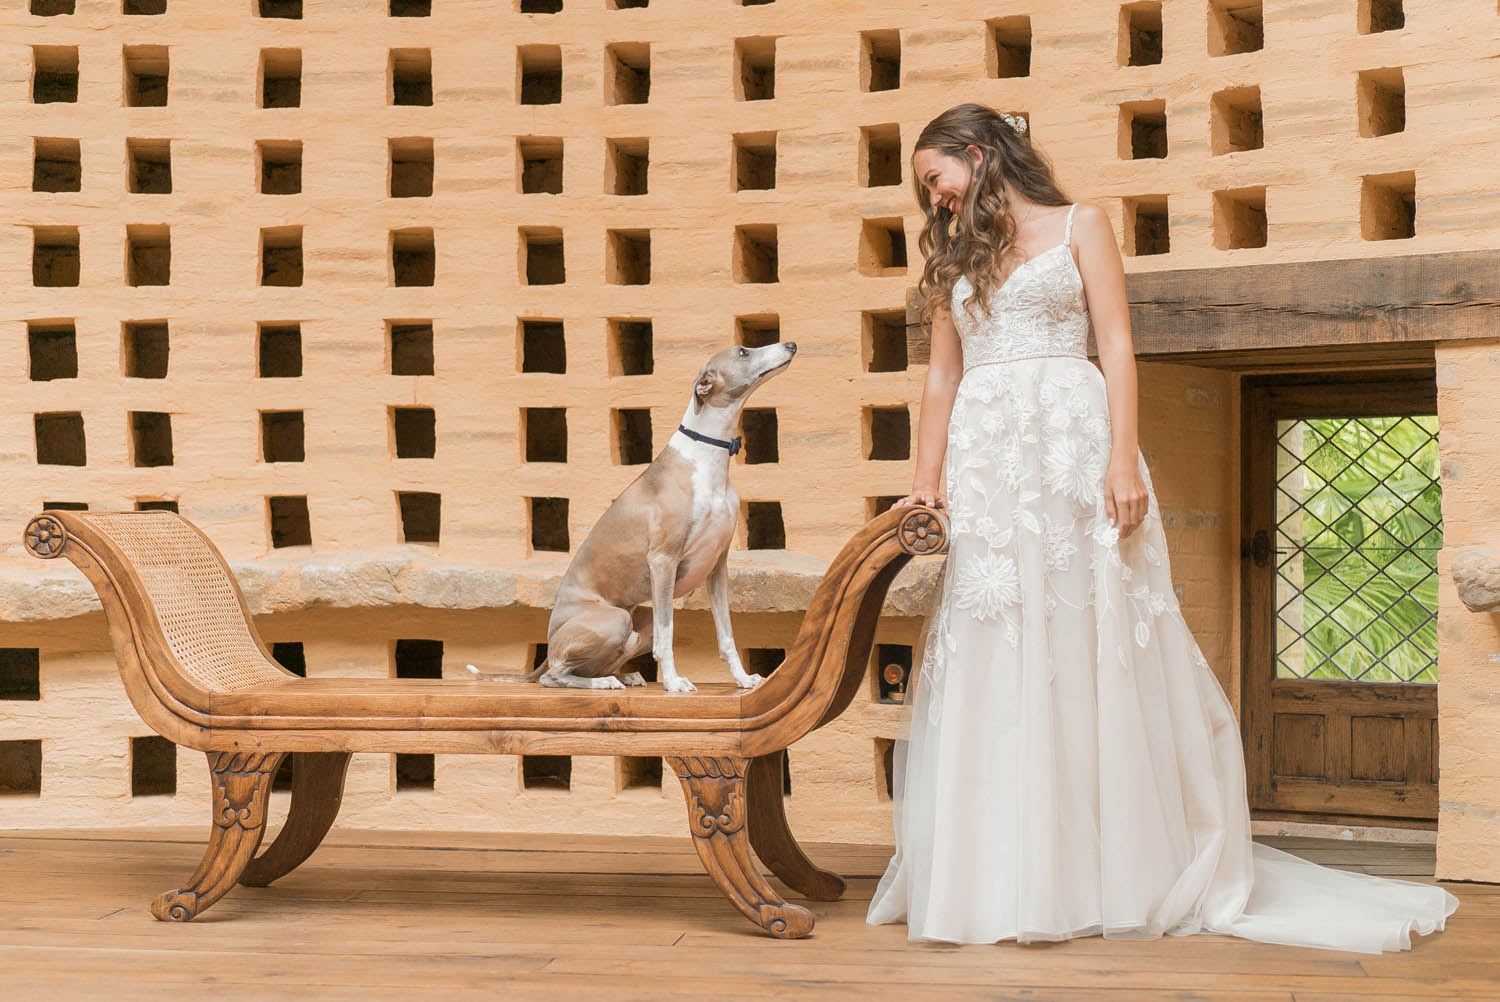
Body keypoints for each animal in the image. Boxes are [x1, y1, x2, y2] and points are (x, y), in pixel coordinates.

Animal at [465, 340, 798, 693]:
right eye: (743, 351)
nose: (791, 344)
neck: (707, 459)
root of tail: (550, 639)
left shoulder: (717, 565)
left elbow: (726, 634)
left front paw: (743, 678)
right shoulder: (663, 560)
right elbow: (667, 635)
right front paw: (673, 682)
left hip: (637, 621)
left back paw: (623, 675)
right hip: (615, 618)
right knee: (552, 674)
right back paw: (602, 682)